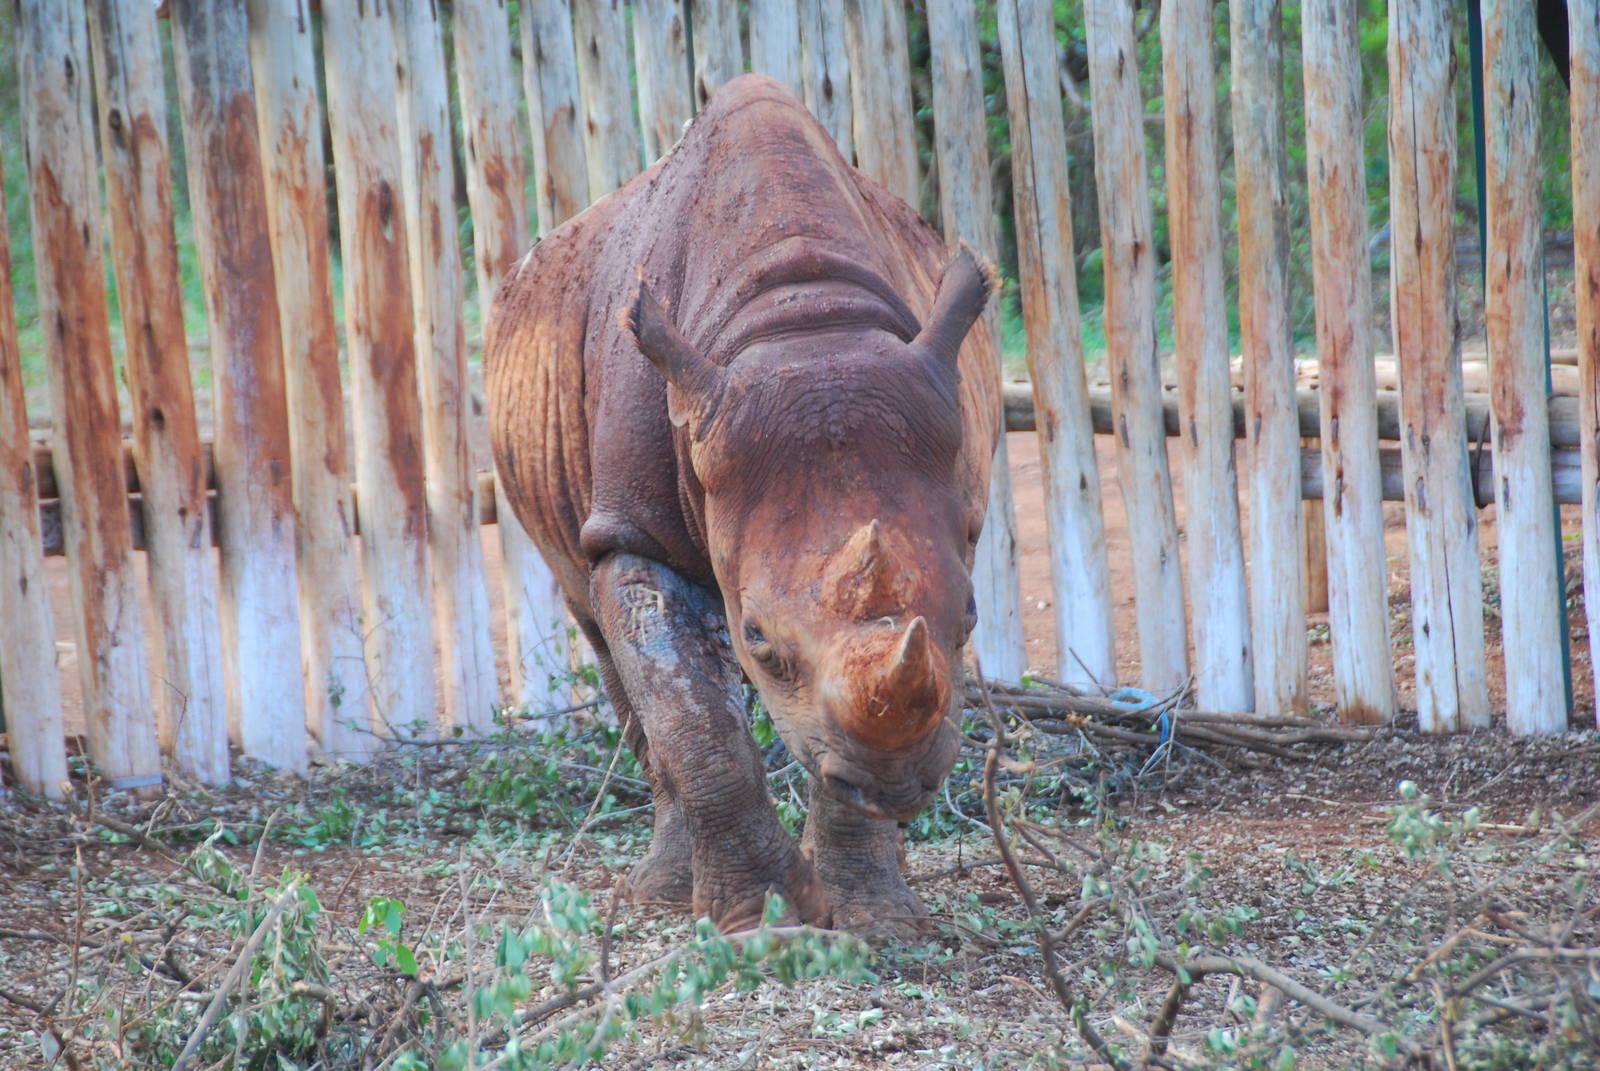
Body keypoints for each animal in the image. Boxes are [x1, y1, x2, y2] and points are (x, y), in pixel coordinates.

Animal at [486, 75, 1001, 933]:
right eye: (757, 636)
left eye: (971, 614)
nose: (898, 786)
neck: (803, 322)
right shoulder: (634, 531)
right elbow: (693, 718)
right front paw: (766, 922)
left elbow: (832, 727)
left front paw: (874, 920)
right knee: (603, 638)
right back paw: (663, 893)